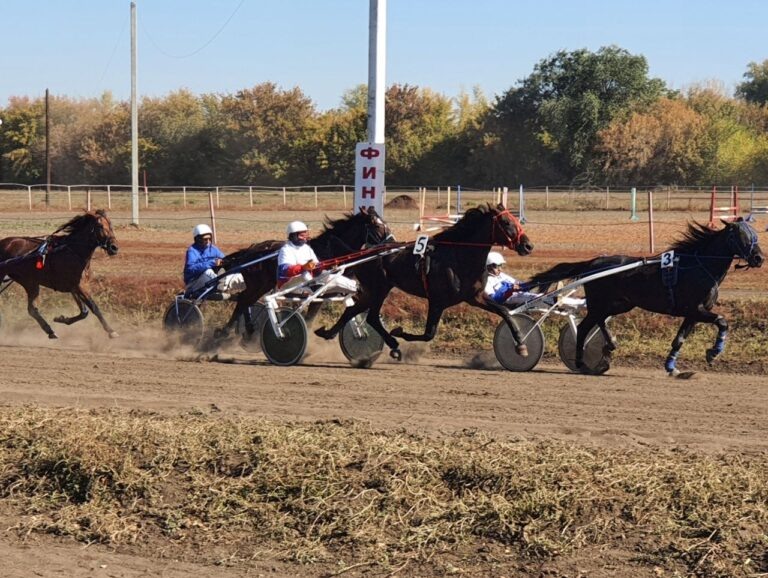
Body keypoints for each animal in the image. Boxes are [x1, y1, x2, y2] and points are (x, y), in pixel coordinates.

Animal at [0, 209, 120, 338]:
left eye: (111, 225)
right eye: (100, 226)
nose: (114, 247)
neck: (74, 251)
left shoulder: (74, 287)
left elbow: (84, 312)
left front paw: (61, 319)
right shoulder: (79, 287)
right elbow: (94, 307)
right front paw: (111, 331)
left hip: (30, 282)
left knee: (31, 308)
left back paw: (50, 331)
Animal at [218, 205, 392, 338]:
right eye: (377, 226)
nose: (392, 241)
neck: (330, 251)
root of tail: (250, 250)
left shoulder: (340, 290)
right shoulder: (321, 292)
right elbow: (309, 319)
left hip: (261, 286)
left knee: (245, 301)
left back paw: (247, 330)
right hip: (257, 285)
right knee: (243, 301)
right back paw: (224, 333)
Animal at [312, 200, 536, 358]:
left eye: (516, 221)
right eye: (506, 223)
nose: (528, 245)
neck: (459, 256)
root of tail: (368, 251)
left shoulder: (475, 297)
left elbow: (504, 312)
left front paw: (521, 345)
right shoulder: (437, 300)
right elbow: (429, 333)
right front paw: (400, 332)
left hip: (375, 289)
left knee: (356, 311)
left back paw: (329, 333)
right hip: (378, 288)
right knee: (371, 316)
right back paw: (392, 344)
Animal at [528, 218, 760, 376]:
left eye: (754, 234)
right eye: (739, 236)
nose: (759, 258)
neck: (699, 267)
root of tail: (594, 263)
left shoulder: (693, 313)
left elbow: (679, 339)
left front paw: (672, 367)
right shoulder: (696, 309)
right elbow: (722, 321)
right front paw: (714, 352)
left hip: (619, 304)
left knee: (600, 321)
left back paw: (609, 345)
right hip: (600, 303)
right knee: (585, 327)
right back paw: (581, 363)